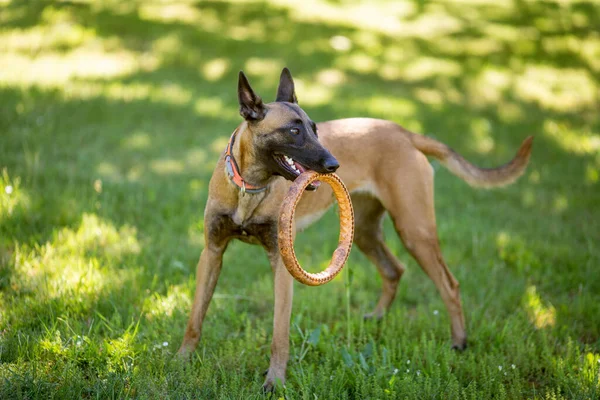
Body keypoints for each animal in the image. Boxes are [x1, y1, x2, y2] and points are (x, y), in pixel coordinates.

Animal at [178, 67, 536, 390]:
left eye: (315, 129)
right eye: (294, 131)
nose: (333, 165)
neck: (250, 186)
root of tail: (404, 132)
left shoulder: (281, 264)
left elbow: (279, 335)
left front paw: (274, 381)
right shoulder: (212, 253)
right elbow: (195, 317)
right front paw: (182, 360)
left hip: (414, 230)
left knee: (449, 284)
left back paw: (459, 341)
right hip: (365, 232)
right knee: (394, 269)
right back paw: (377, 319)